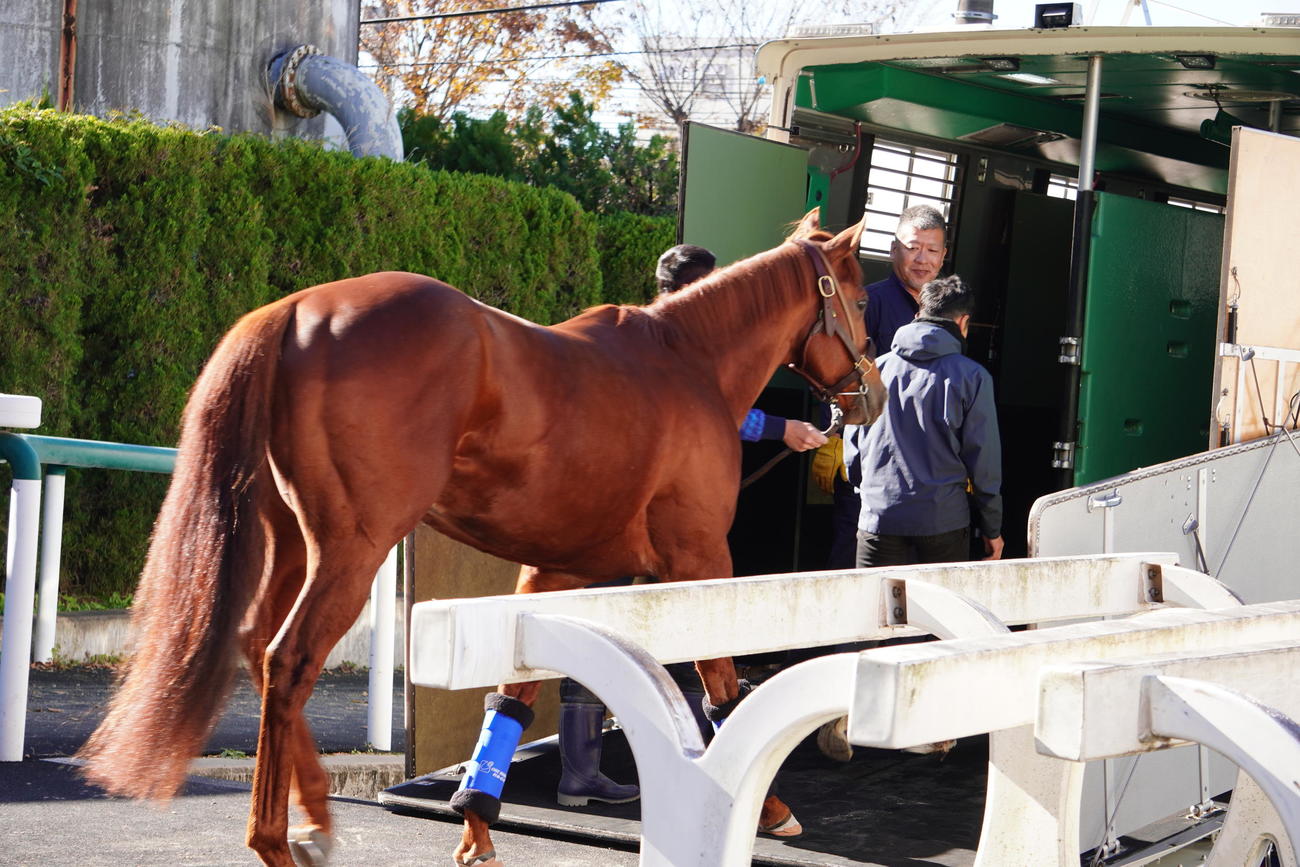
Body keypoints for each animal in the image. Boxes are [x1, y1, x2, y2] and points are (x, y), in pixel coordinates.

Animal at [77, 208, 884, 866]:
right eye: (860, 298)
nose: (870, 394)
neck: (687, 363)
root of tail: (296, 308)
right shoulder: (697, 558)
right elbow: (720, 681)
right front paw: (771, 806)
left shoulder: (559, 571)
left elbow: (514, 693)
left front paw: (475, 817)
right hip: (353, 545)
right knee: (290, 657)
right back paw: (274, 837)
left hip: (294, 542)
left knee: (258, 645)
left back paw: (315, 817)